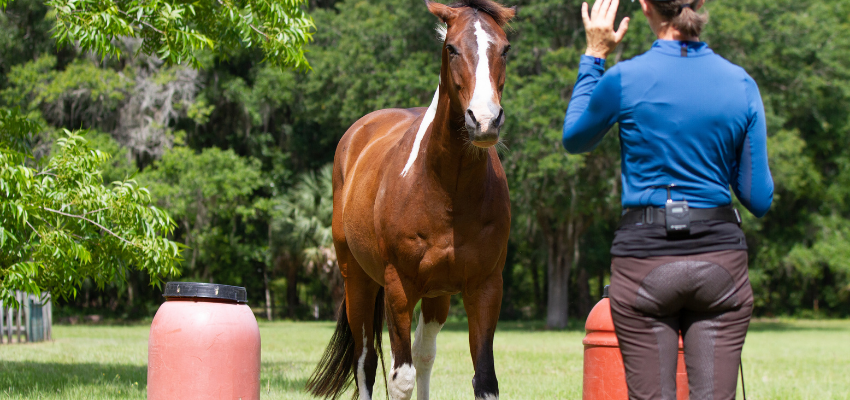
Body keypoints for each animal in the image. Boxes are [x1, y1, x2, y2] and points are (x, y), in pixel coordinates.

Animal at [308, 1, 512, 398]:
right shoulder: (399, 289)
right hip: (358, 281)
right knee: (366, 360)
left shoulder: (485, 288)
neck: (448, 189)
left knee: (424, 355)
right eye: (452, 48)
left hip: (436, 295)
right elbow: (400, 378)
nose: (484, 120)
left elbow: (484, 378)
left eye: (505, 49)